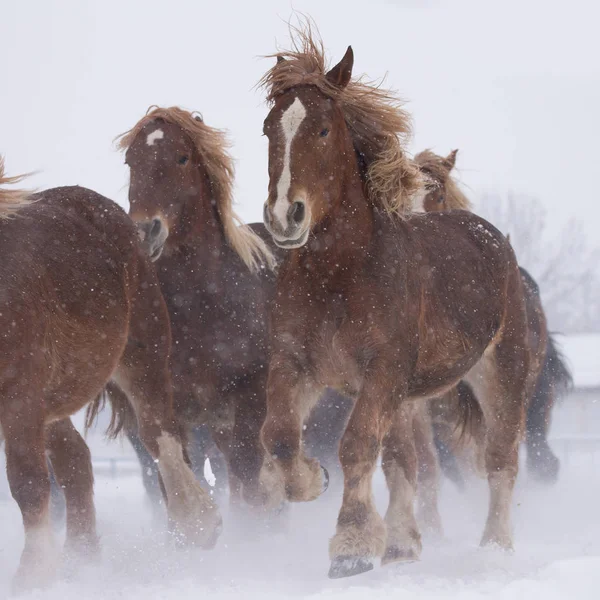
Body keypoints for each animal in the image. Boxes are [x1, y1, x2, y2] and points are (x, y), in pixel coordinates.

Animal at [0, 158, 221, 592]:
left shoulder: (18, 399)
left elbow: (29, 483)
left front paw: (32, 578)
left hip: (141, 357)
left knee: (160, 436)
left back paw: (198, 524)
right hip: (52, 403)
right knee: (76, 461)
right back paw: (81, 562)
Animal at [87, 106, 286, 510]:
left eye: (181, 158)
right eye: (131, 161)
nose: (144, 231)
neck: (203, 306)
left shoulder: (250, 397)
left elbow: (250, 480)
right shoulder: (171, 409)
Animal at [258, 25, 536, 580]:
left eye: (324, 130)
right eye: (268, 130)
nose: (284, 216)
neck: (338, 277)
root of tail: (493, 237)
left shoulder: (382, 369)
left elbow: (356, 445)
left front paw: (351, 547)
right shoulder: (297, 362)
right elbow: (278, 437)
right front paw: (313, 480)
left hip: (502, 372)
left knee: (500, 460)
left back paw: (494, 546)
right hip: (409, 400)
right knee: (406, 460)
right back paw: (404, 542)